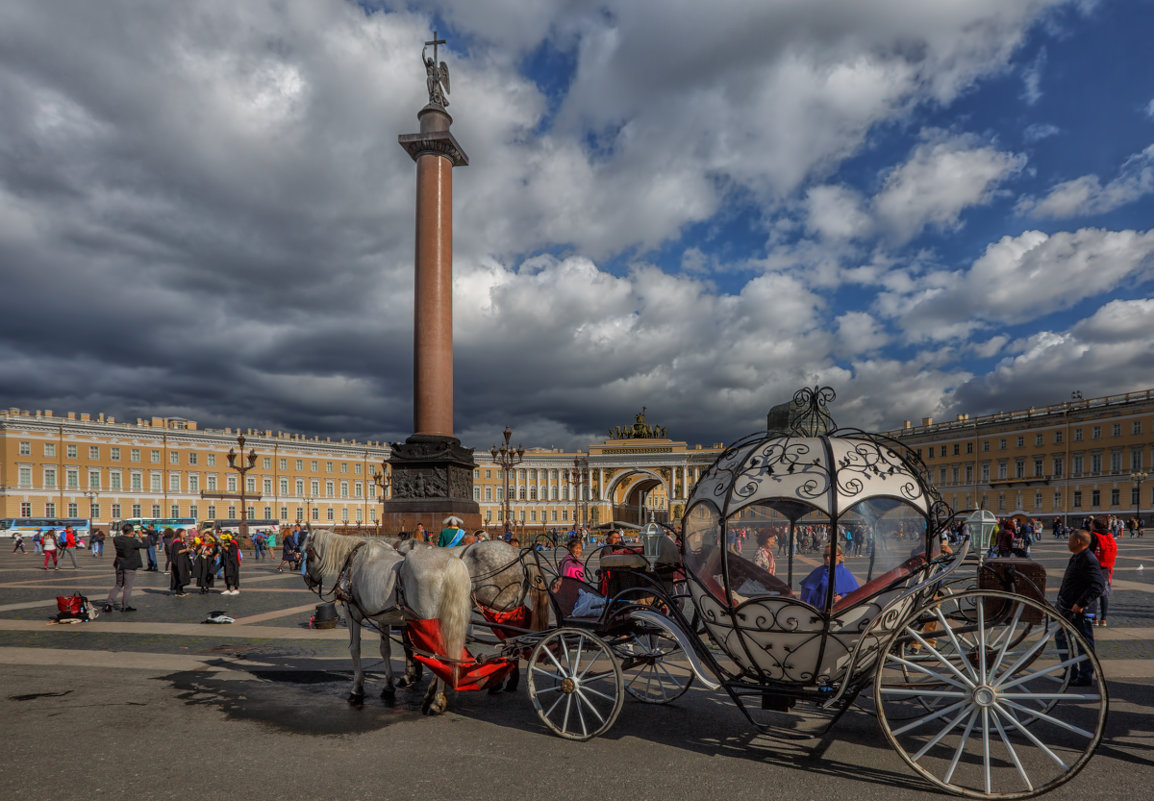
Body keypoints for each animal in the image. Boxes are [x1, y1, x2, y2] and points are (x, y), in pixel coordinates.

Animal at [304, 533, 475, 715]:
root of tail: (452, 563)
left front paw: (357, 689)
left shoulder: (352, 612)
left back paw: (435, 700)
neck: (353, 560)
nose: (307, 579)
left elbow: (355, 649)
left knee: (440, 656)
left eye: (308, 553)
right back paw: (434, 696)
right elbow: (385, 650)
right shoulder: (382, 616)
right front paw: (388, 686)